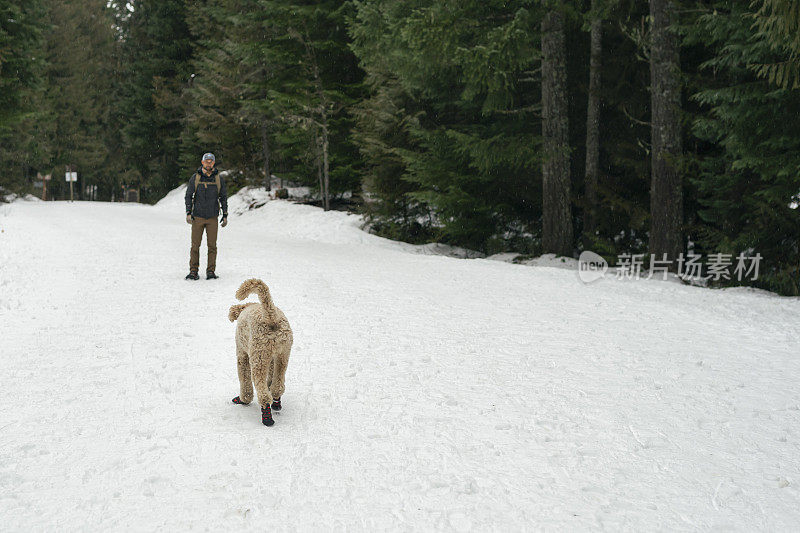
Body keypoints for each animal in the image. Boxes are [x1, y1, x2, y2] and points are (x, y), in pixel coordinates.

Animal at [227, 278, 292, 424]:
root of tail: (271, 316)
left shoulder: (242, 354)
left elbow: (244, 379)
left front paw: (243, 399)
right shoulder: (272, 358)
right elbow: (271, 377)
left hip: (259, 357)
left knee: (262, 390)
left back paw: (267, 416)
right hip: (283, 354)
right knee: (278, 385)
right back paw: (276, 403)